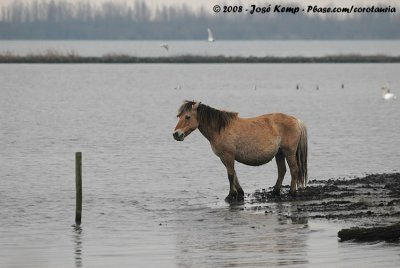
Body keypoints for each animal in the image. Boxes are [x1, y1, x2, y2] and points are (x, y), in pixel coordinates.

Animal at [171, 101, 306, 202]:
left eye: (187, 117)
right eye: (179, 116)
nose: (176, 134)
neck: (220, 129)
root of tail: (297, 121)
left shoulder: (228, 156)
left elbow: (230, 175)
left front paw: (231, 195)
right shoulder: (224, 157)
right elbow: (234, 174)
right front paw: (240, 192)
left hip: (289, 152)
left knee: (294, 170)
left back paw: (291, 193)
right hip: (279, 153)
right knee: (282, 171)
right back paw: (275, 192)